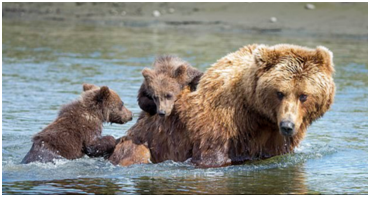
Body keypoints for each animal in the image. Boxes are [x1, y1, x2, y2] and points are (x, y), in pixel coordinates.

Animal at [110, 43, 336, 168]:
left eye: (304, 95)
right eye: (280, 93)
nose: (287, 125)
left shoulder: (276, 140)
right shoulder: (220, 123)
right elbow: (211, 156)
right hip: (144, 141)